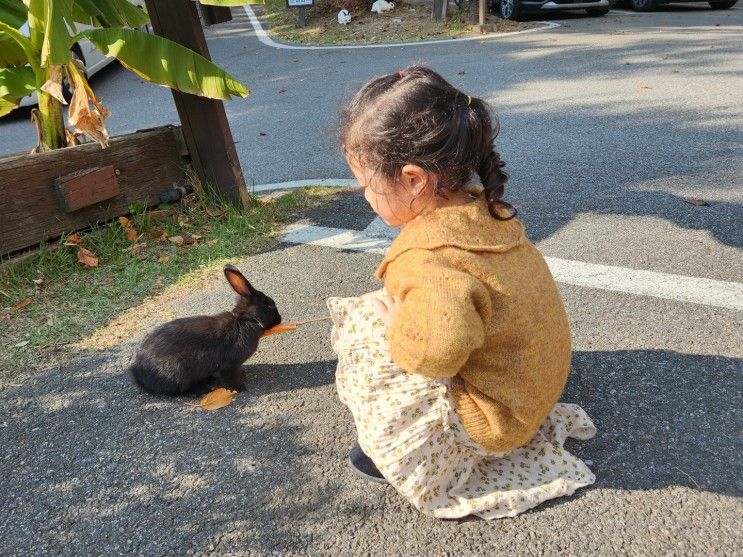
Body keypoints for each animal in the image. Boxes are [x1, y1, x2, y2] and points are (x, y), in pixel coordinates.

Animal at [128, 264, 282, 396]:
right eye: (270, 305)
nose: (280, 320)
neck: (246, 320)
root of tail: (139, 374)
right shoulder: (229, 365)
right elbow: (230, 378)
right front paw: (241, 388)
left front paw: (243, 374)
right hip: (178, 373)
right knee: (182, 391)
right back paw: (203, 390)